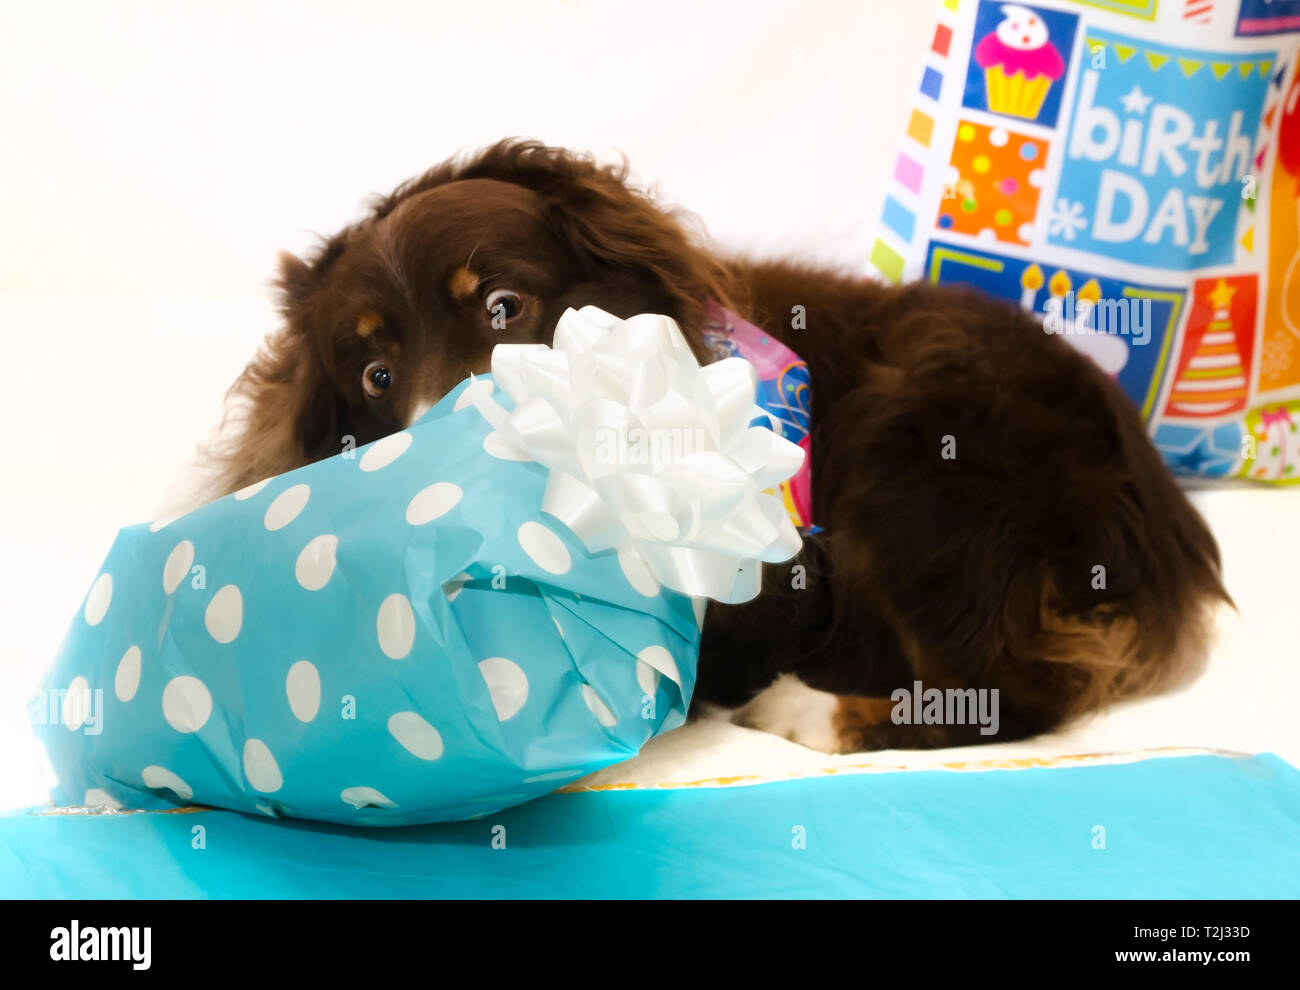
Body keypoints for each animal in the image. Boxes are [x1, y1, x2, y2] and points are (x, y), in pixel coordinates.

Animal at [213, 139, 1227, 748]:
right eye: (376, 378)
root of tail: (1166, 516)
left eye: (505, 307)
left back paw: (808, 710)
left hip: (924, 445)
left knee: (1015, 686)